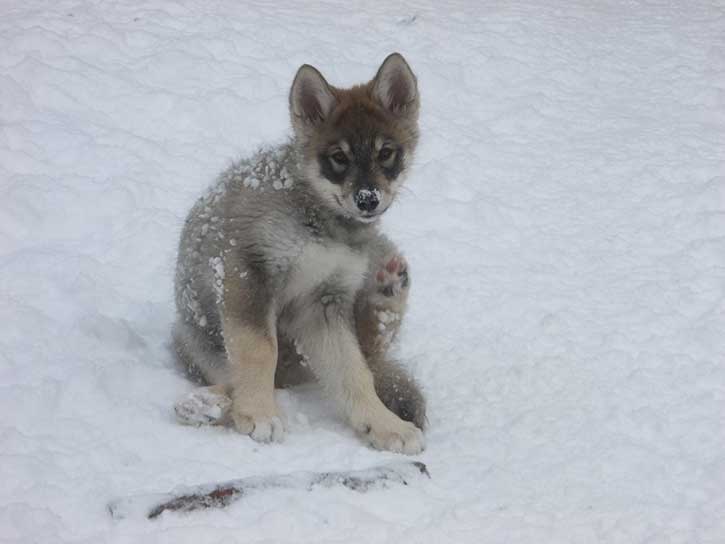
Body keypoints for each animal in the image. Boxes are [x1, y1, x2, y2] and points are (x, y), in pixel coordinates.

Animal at [173, 52, 428, 454]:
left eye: (386, 153)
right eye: (338, 157)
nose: (367, 200)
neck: (321, 224)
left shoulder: (324, 302)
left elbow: (354, 372)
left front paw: (383, 424)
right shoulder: (249, 270)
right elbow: (259, 350)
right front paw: (259, 413)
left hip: (374, 262)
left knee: (371, 352)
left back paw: (388, 291)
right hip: (198, 341)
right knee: (242, 376)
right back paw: (204, 404)